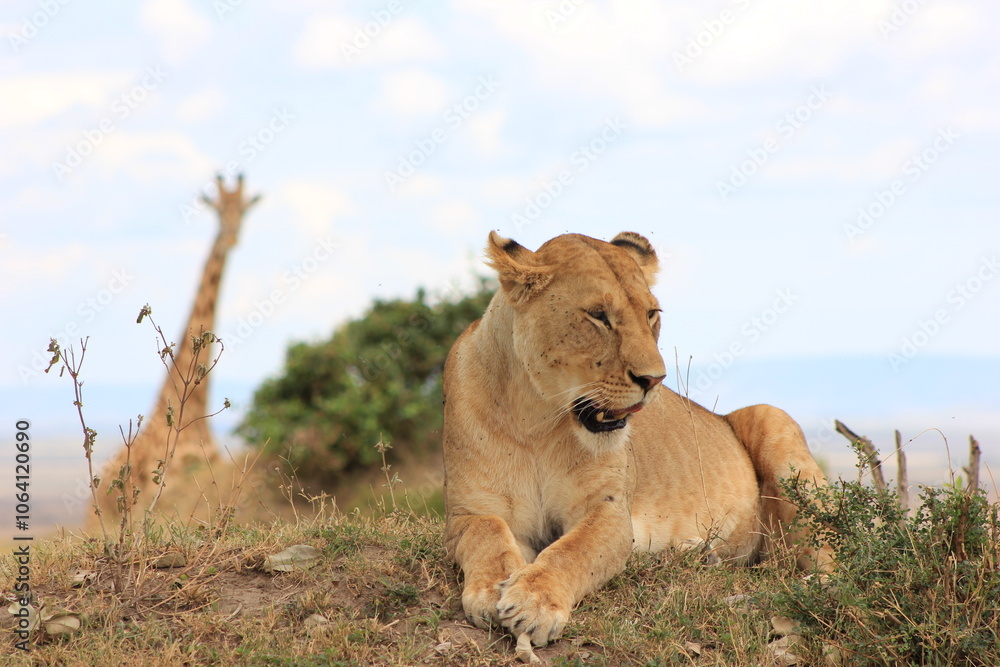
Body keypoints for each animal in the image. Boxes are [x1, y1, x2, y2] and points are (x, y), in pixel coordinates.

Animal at [442, 230, 830, 648]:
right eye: (598, 315)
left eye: (651, 314)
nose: (654, 379)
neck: (538, 419)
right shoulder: (468, 511)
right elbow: (487, 533)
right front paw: (490, 588)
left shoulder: (610, 512)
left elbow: (573, 551)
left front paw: (533, 602)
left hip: (773, 423)